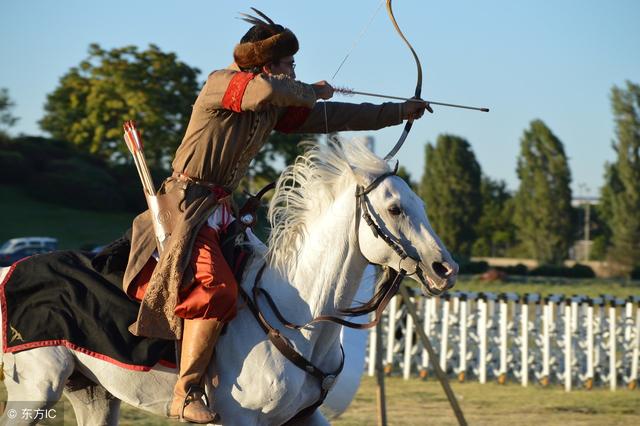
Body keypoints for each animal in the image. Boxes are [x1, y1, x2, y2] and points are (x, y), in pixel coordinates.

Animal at [1, 138, 460, 424]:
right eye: (396, 208)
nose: (445, 269)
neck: (299, 320)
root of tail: (11, 268)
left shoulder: (305, 417)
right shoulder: (240, 419)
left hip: (93, 392)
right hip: (35, 388)